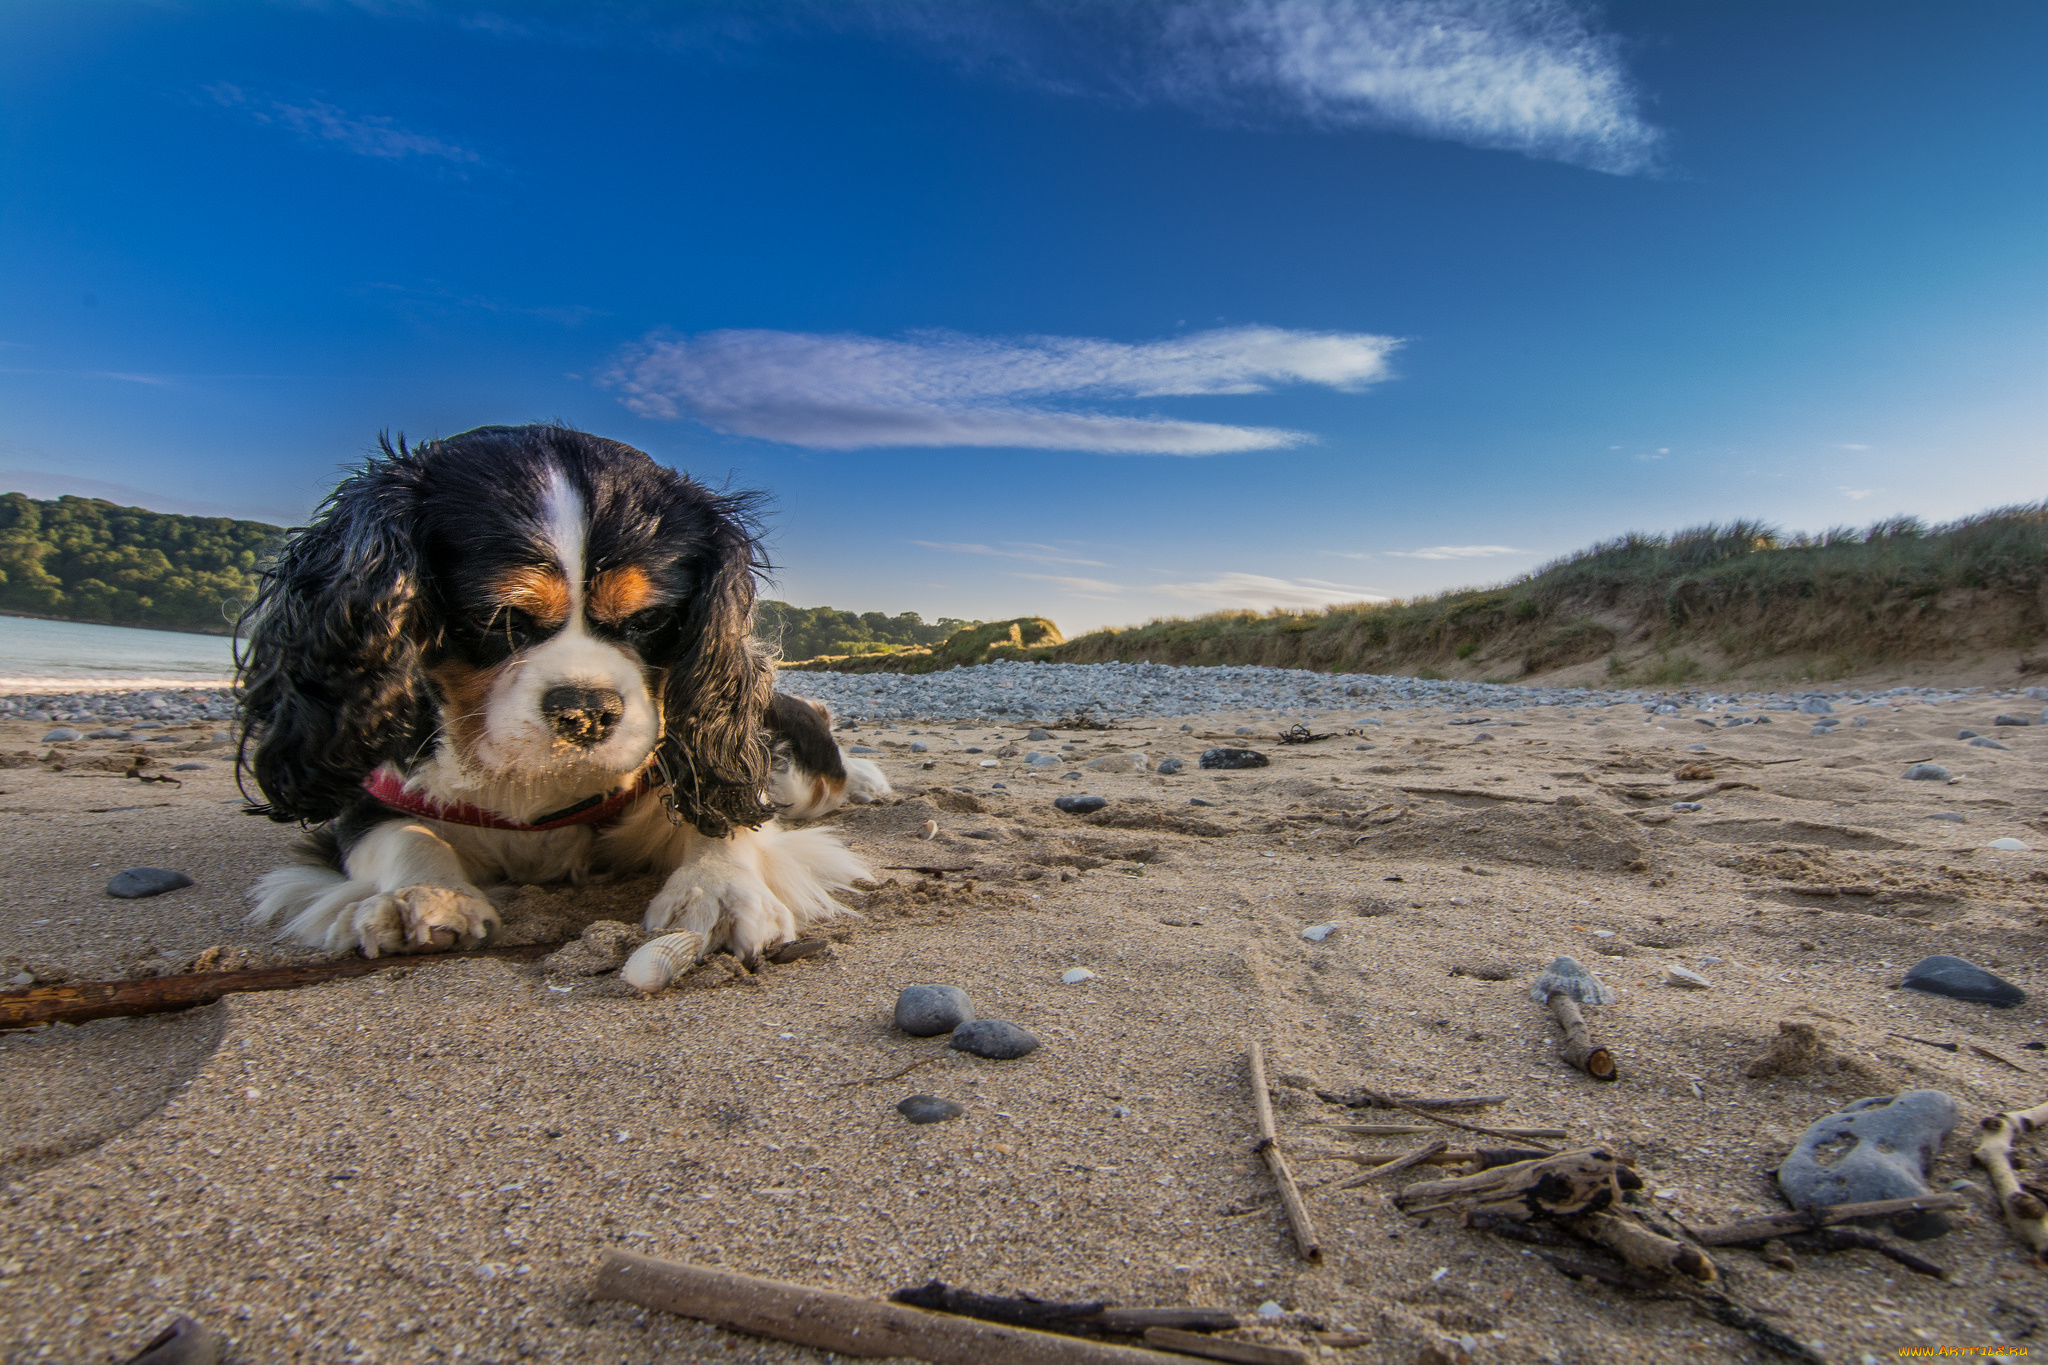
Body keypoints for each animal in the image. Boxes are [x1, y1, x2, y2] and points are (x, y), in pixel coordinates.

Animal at [237, 421, 888, 965]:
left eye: (650, 619)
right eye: (498, 617)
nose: (588, 712)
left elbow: (723, 819)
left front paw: (718, 891)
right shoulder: (370, 794)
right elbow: (398, 833)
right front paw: (423, 894)